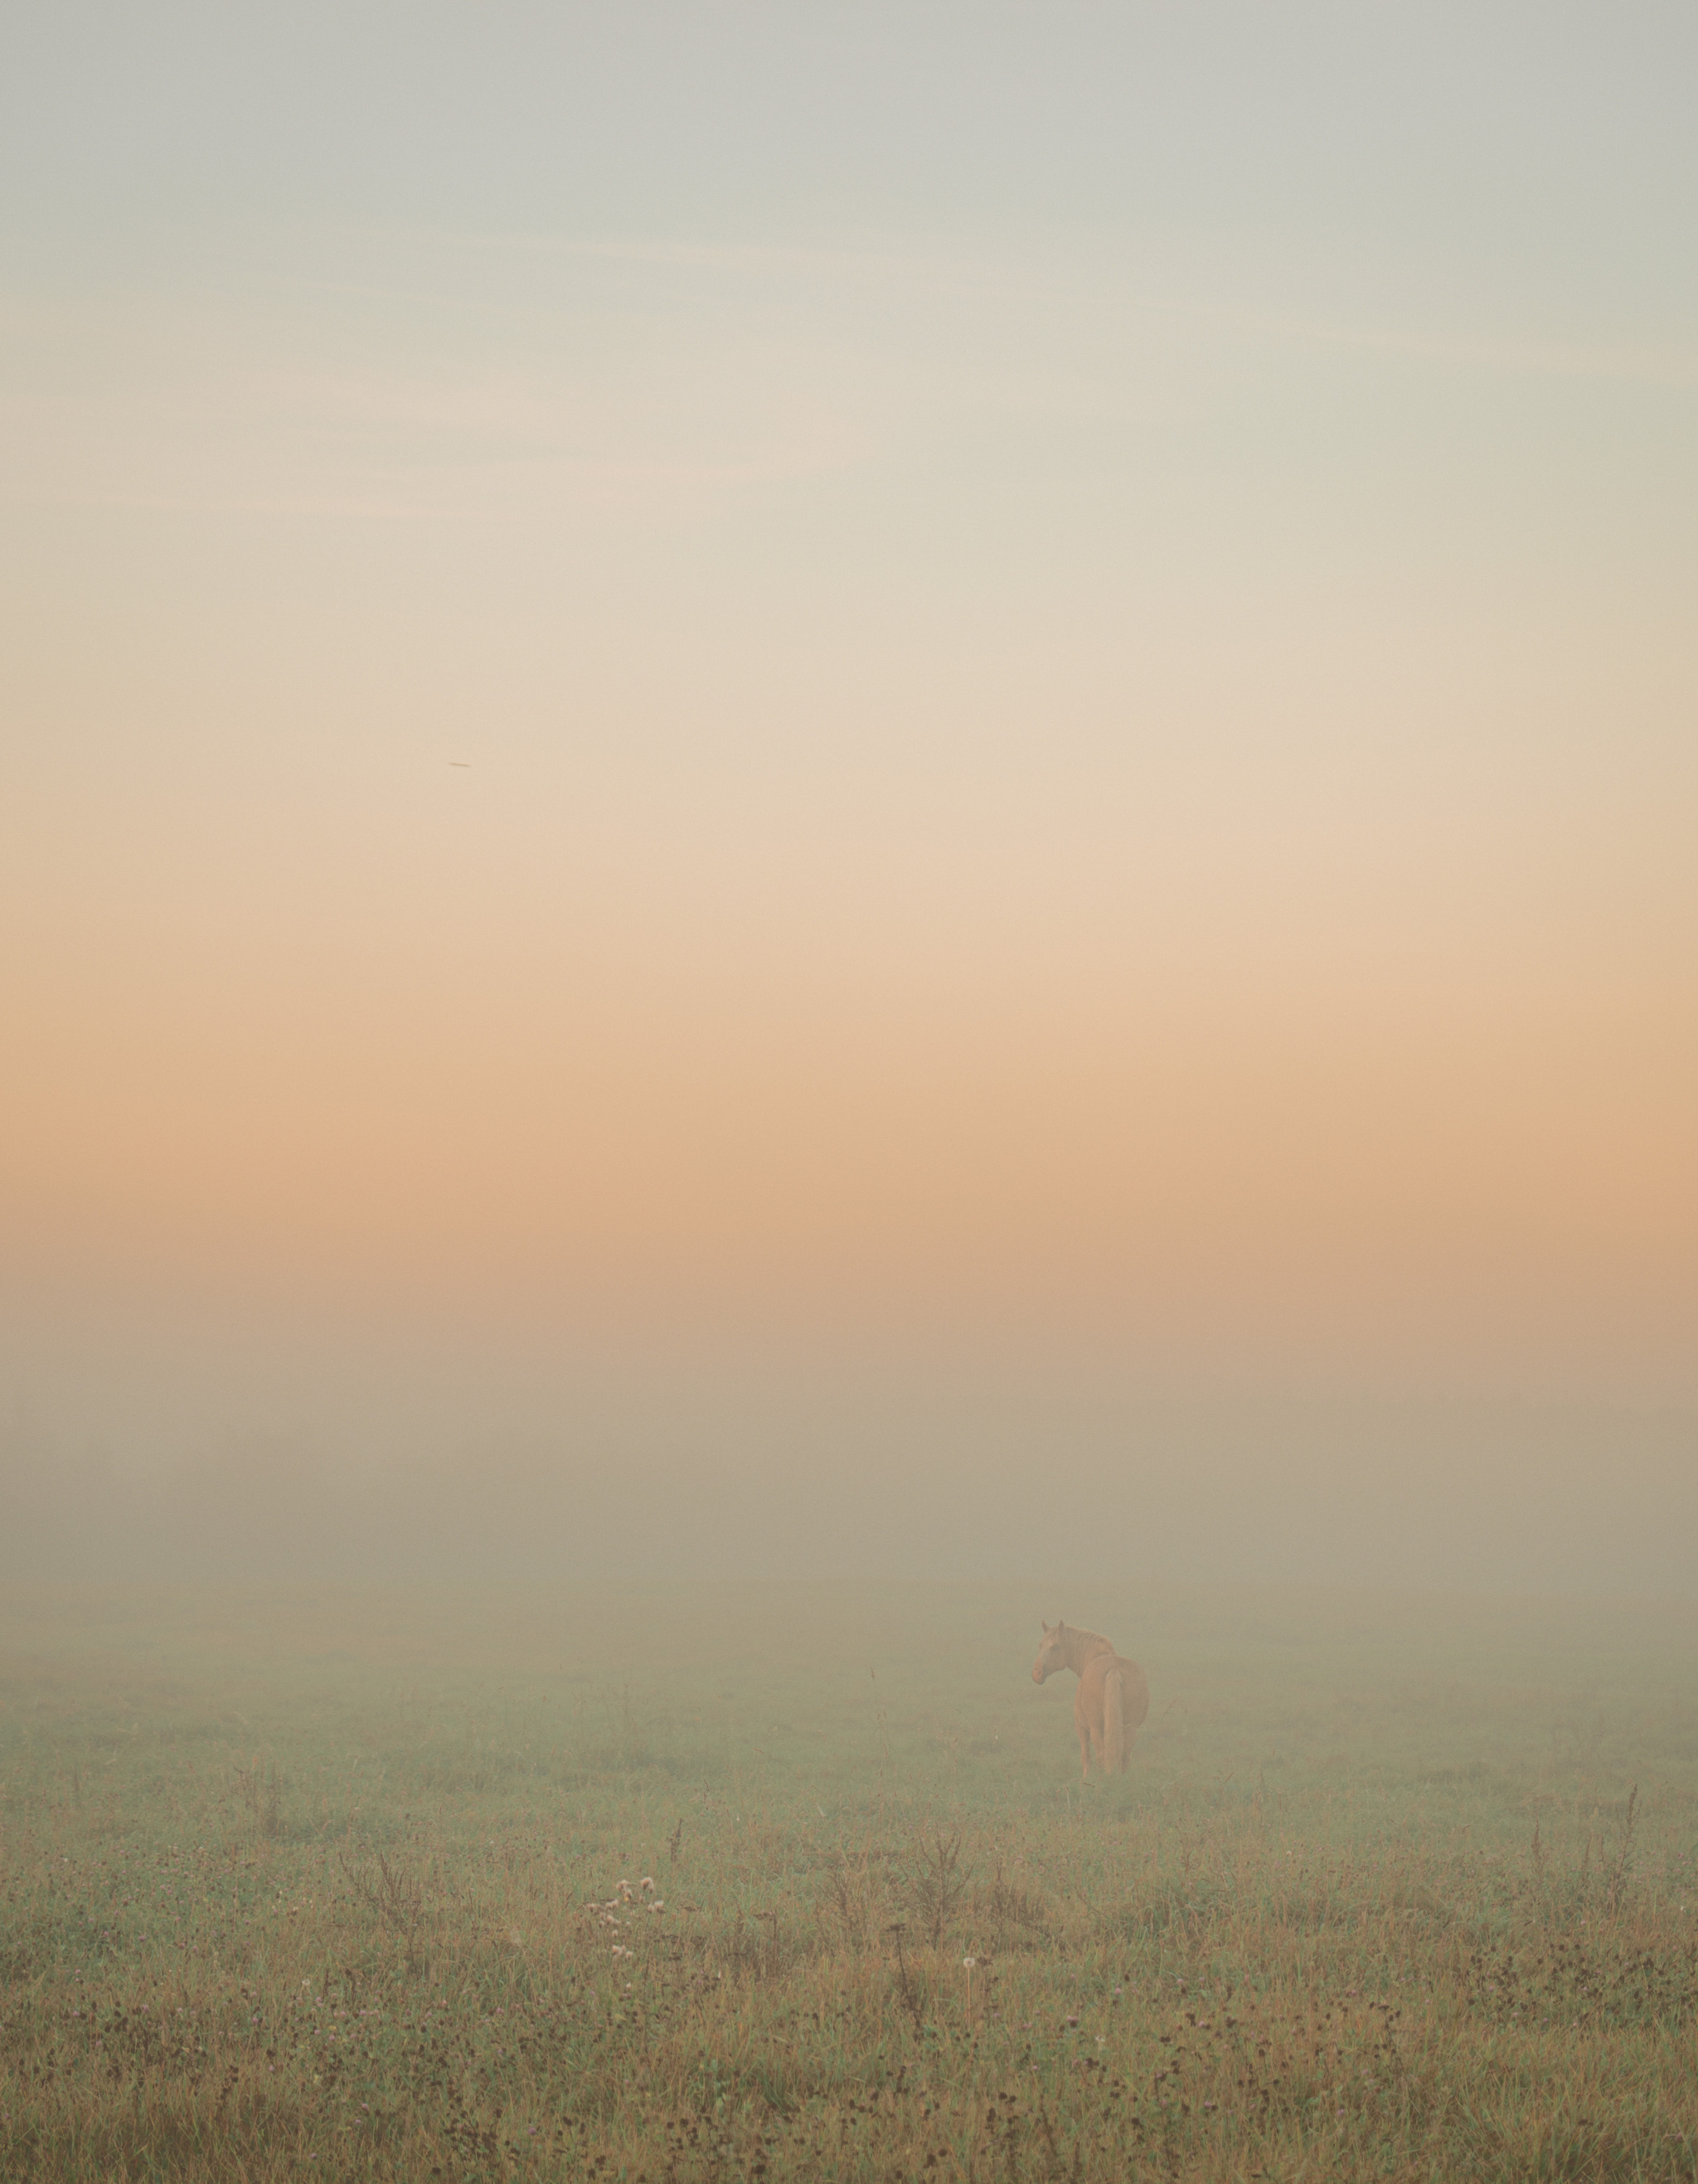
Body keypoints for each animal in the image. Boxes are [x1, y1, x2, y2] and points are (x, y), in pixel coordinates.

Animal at [1026, 1616, 1143, 1782]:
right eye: (1040, 1645)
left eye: (1055, 1646)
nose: (1037, 1673)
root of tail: (1114, 1669)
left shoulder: (1081, 1727)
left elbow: (1086, 1756)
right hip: (1131, 1728)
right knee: (1124, 1756)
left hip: (1096, 1728)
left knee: (1101, 1755)